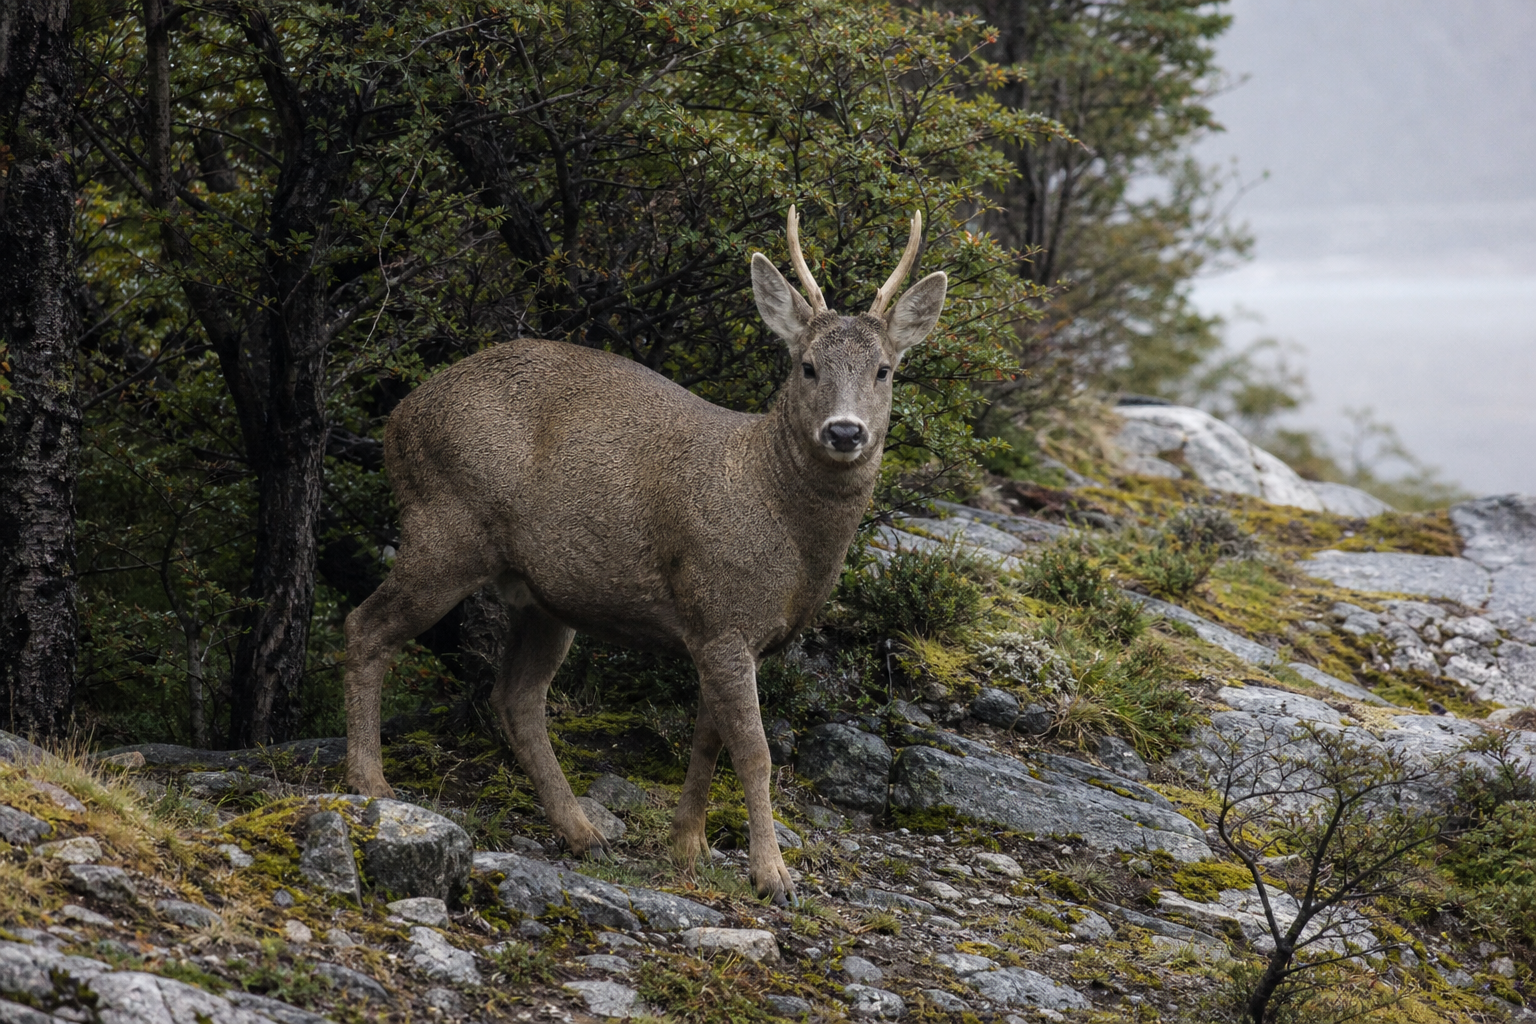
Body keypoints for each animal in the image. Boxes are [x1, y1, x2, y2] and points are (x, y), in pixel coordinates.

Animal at [341, 207, 947, 903]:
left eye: (885, 370)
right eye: (808, 366)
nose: (845, 431)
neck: (783, 524)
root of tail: (399, 416)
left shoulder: (722, 629)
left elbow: (708, 740)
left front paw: (688, 846)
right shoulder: (722, 609)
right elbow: (754, 750)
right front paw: (773, 875)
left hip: (543, 594)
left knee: (516, 696)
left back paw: (583, 833)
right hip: (444, 526)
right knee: (366, 627)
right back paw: (371, 782)